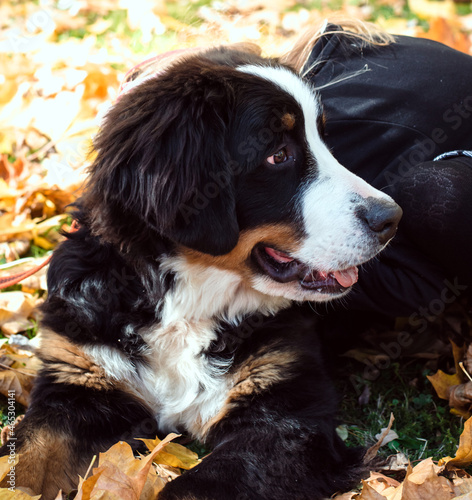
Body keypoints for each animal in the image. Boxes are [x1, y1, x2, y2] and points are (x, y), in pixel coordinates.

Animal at [0, 45, 402, 498]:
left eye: (324, 140)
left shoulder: (285, 411)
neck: (186, 307)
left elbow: (195, 486)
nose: (392, 218)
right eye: (278, 154)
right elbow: (24, 456)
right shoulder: (79, 381)